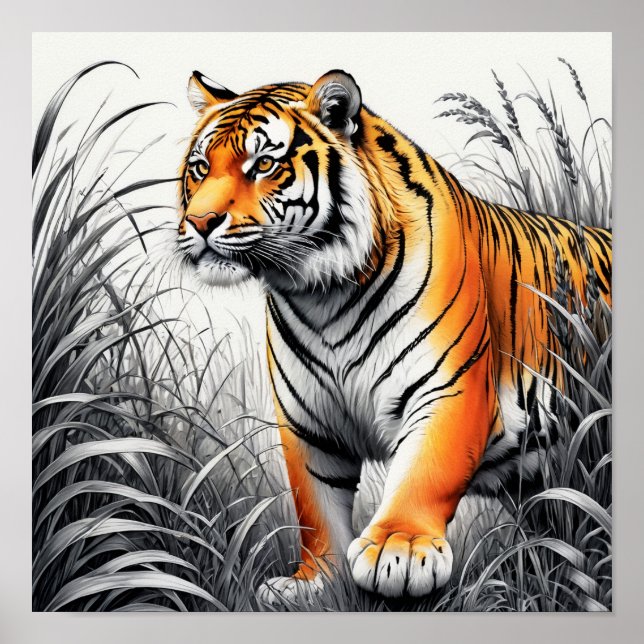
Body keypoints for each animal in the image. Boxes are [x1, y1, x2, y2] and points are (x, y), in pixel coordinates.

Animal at [177, 69, 612, 601]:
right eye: (200, 168)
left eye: (263, 164)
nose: (199, 222)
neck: (324, 297)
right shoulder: (307, 422)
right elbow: (315, 504)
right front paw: (316, 582)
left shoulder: (450, 388)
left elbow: (424, 472)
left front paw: (398, 551)